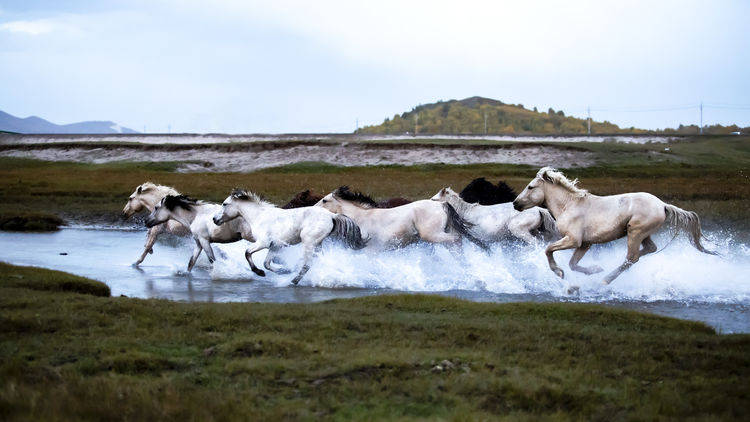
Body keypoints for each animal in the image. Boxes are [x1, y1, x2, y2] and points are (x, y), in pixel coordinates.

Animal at [213, 190, 368, 286]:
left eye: (225, 204)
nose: (215, 219)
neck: (259, 216)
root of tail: (332, 216)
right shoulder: (275, 246)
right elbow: (267, 263)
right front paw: (283, 271)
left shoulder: (263, 243)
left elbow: (247, 253)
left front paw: (259, 272)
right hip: (317, 244)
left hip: (308, 242)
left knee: (307, 264)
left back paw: (294, 281)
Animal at [312, 185, 484, 251]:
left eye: (325, 200)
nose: (312, 209)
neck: (362, 218)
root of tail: (442, 204)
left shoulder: (372, 249)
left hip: (432, 235)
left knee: (457, 240)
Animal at [516, 166, 720, 288]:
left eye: (530, 187)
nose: (516, 204)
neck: (569, 205)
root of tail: (662, 205)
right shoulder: (585, 244)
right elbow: (573, 264)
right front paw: (594, 269)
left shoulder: (573, 240)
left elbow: (549, 249)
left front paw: (559, 273)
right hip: (642, 233)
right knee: (649, 249)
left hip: (635, 232)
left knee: (632, 258)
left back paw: (605, 280)